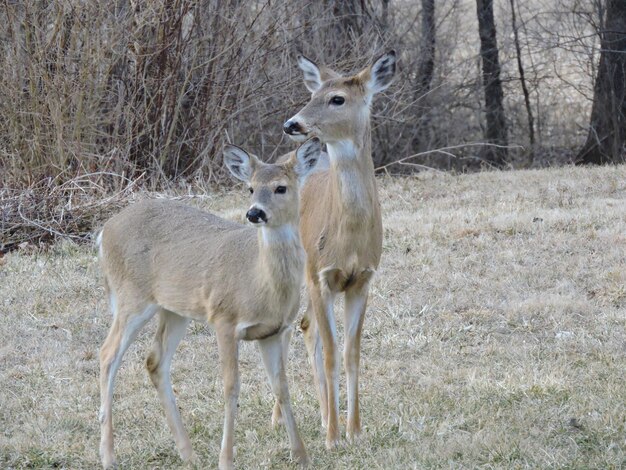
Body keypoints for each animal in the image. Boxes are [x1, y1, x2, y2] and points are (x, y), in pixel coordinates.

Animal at [97, 138, 322, 468]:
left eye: (281, 187)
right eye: (250, 188)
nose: (254, 213)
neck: (259, 282)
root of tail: (103, 232)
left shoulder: (273, 331)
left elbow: (281, 386)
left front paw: (301, 455)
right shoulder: (224, 319)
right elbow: (231, 387)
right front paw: (226, 459)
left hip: (174, 310)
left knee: (155, 360)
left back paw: (187, 453)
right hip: (132, 298)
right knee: (107, 354)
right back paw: (108, 455)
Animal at [282, 50, 394, 448]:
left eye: (337, 99)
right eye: (312, 94)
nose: (292, 123)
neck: (349, 240)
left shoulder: (362, 279)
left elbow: (350, 353)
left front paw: (354, 430)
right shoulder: (321, 276)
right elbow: (331, 353)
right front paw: (333, 437)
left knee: (305, 326)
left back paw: (320, 416)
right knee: (288, 329)